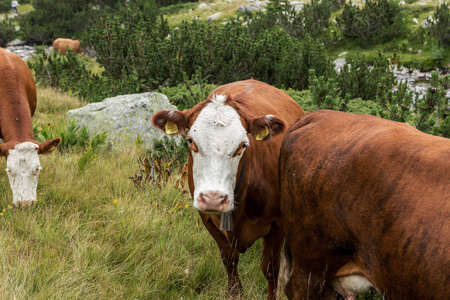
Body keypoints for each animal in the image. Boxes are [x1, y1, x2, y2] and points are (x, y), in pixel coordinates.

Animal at [152, 78, 306, 298]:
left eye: (242, 145)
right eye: (191, 141)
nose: (213, 198)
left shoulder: (278, 223)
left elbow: (270, 268)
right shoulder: (207, 218)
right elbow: (229, 259)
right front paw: (235, 293)